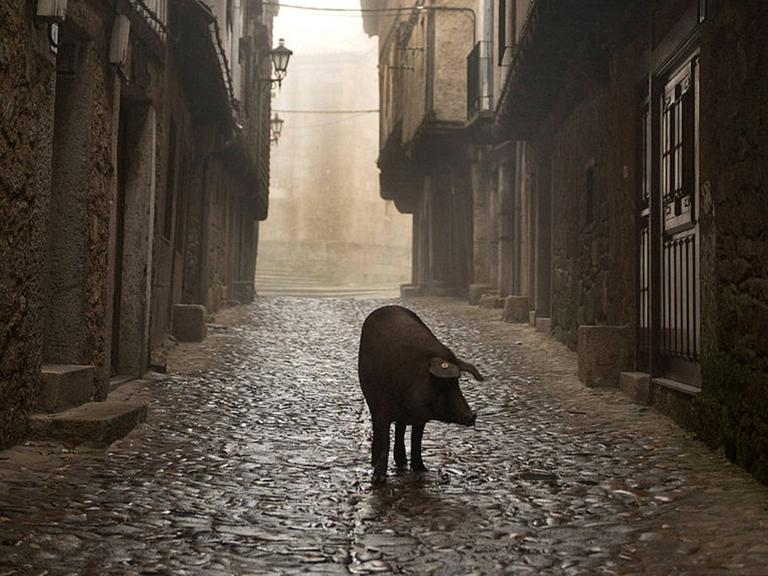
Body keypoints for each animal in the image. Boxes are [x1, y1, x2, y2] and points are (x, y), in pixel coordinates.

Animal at [358, 306, 480, 486]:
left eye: (456, 383)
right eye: (442, 384)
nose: (472, 415)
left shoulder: (420, 417)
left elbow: (416, 441)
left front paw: (422, 470)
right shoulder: (381, 408)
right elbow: (385, 440)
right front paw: (377, 480)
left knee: (400, 429)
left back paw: (402, 463)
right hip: (370, 400)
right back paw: (378, 463)